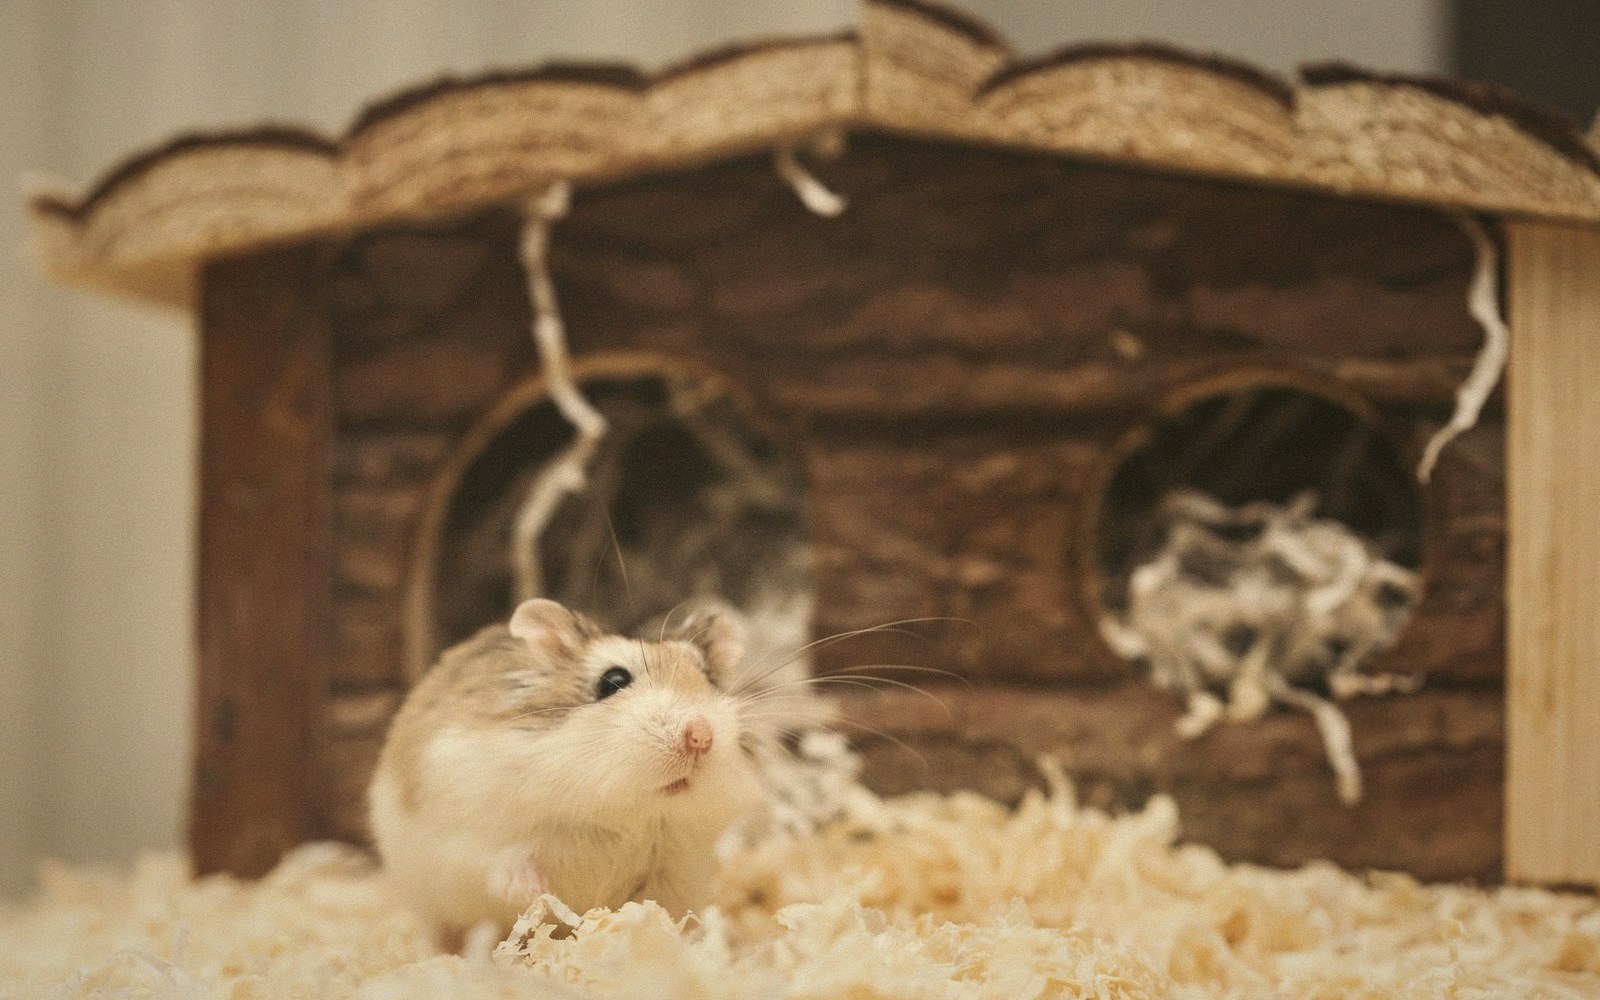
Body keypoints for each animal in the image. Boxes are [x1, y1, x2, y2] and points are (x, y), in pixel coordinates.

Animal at [368, 598, 768, 939]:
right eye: (613, 681)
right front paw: (535, 893)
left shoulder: (675, 868)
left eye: (709, 679)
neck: (625, 811)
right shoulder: (473, 834)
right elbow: (502, 863)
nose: (701, 736)